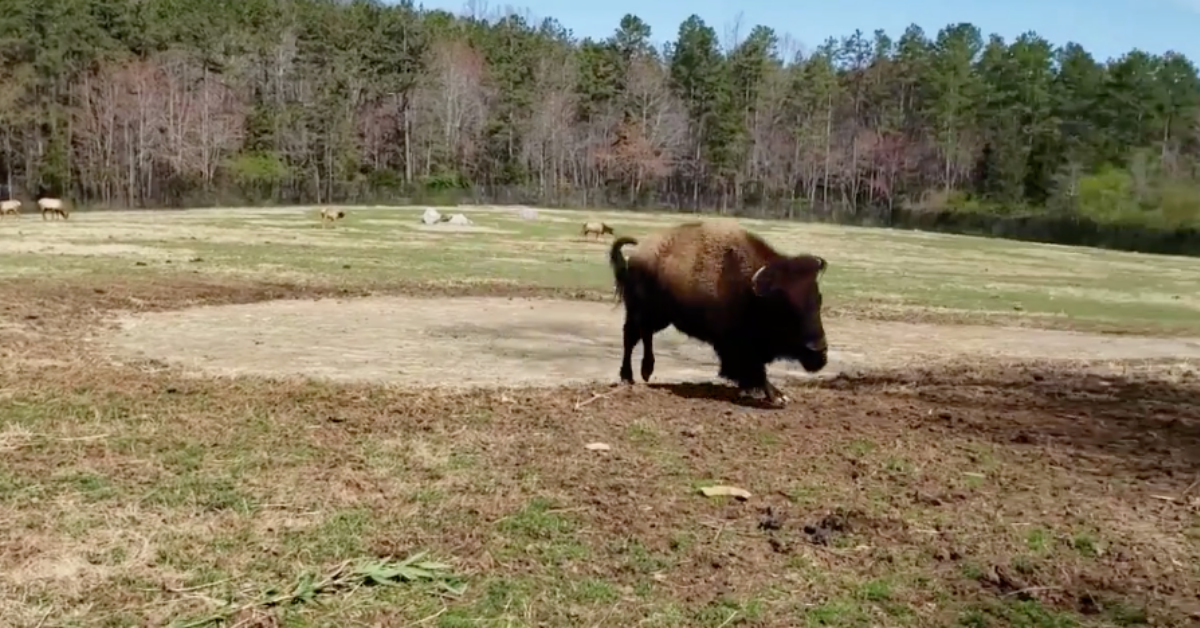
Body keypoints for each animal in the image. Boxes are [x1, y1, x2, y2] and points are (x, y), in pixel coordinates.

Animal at [609, 220, 825, 408]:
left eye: (818, 299)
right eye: (785, 306)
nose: (818, 350)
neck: (750, 290)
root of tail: (635, 256)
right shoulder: (735, 346)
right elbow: (754, 369)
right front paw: (777, 396)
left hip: (660, 317)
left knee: (645, 335)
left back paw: (645, 371)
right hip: (640, 313)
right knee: (630, 338)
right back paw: (628, 377)